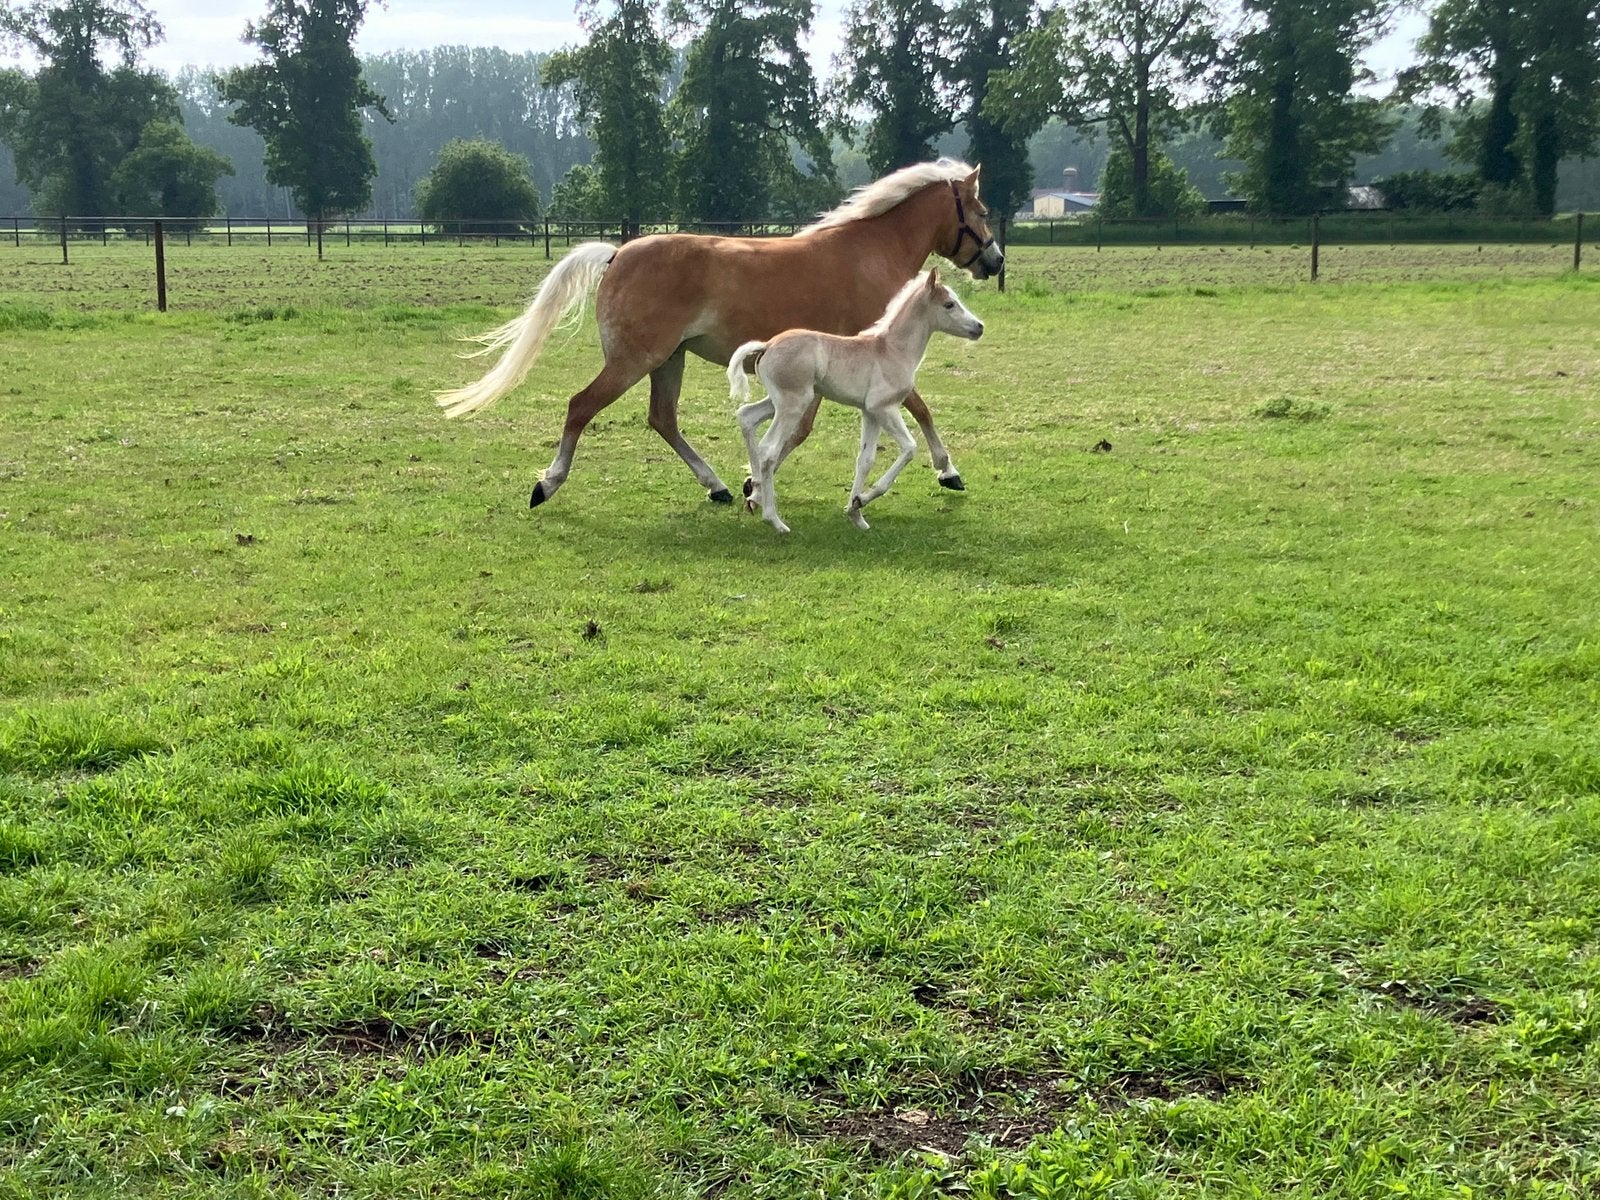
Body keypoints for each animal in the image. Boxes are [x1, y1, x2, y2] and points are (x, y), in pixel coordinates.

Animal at [727, 270, 984, 534]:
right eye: (949, 304)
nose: (979, 327)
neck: (892, 350)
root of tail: (767, 345)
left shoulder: (870, 414)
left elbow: (865, 459)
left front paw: (855, 511)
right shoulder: (884, 408)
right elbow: (909, 447)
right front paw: (863, 499)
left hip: (777, 402)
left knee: (746, 416)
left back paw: (754, 491)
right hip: (794, 404)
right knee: (769, 449)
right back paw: (774, 520)